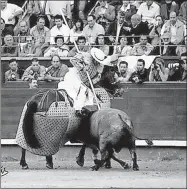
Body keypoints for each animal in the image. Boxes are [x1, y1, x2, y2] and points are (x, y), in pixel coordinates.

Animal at [20, 102, 153, 171]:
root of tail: (122, 120)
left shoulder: (94, 140)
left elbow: (90, 148)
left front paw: (81, 160)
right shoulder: (93, 140)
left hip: (104, 142)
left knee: (106, 154)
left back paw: (95, 166)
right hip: (130, 142)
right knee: (133, 153)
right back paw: (134, 166)